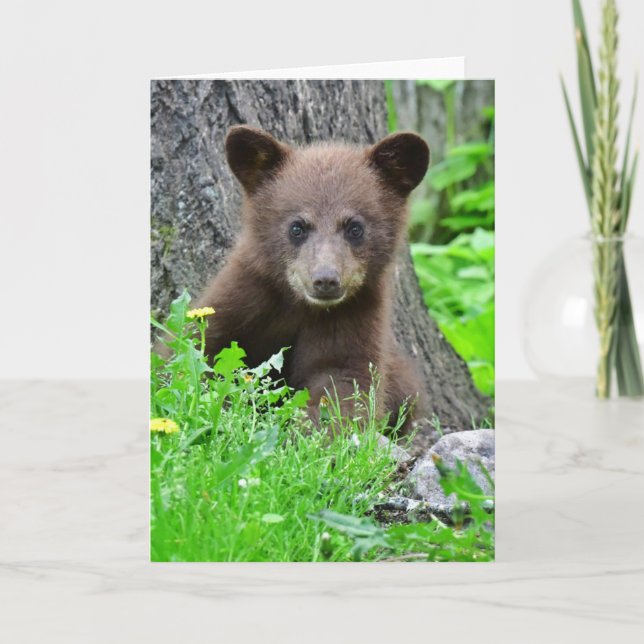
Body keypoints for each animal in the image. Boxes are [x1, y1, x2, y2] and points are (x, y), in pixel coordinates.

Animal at [196, 125, 430, 430]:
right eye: (297, 227)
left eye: (355, 227)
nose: (326, 279)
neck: (299, 304)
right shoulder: (244, 295)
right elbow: (202, 347)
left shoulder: (354, 315)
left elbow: (344, 381)